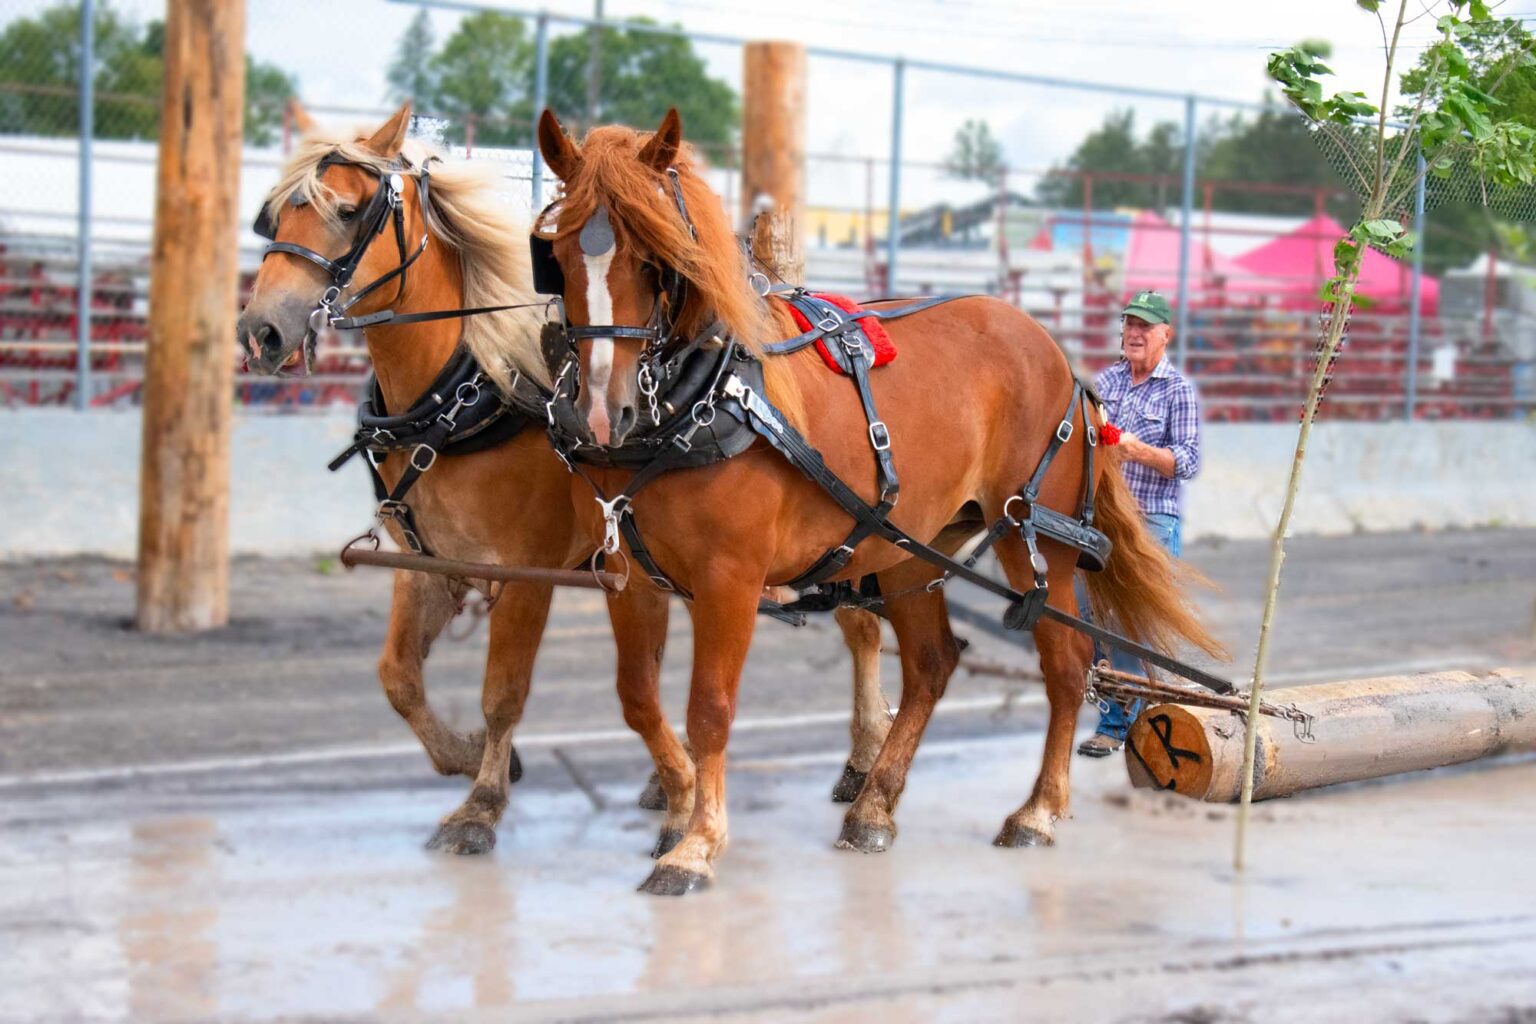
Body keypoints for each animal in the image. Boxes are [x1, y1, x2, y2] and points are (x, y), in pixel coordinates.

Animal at [234, 104, 896, 855]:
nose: (261, 331)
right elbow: (398, 677)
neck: (468, 391)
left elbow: (504, 690)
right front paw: (463, 755)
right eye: (273, 215)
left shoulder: (527, 571)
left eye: (348, 211)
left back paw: (863, 761)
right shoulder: (430, 563)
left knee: (861, 627)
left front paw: (481, 804)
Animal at [534, 108, 1225, 895]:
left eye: (656, 260)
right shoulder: (629, 575)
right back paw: (875, 806)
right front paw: (679, 809)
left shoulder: (729, 580)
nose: (600, 412)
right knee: (931, 663)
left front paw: (698, 845)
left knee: (1069, 662)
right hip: (907, 546)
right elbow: (639, 699)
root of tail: (1062, 359)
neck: (703, 396)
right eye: (556, 253)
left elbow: (709, 707)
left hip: (1036, 541)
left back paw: (1038, 811)